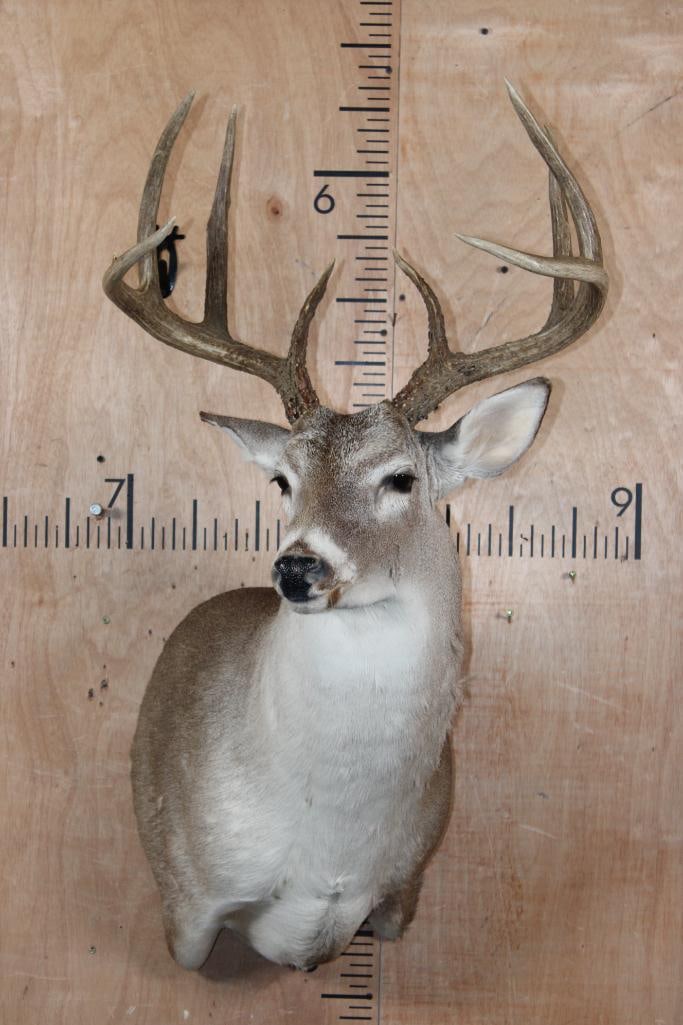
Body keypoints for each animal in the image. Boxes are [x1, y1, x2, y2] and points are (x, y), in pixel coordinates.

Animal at [102, 82, 607, 972]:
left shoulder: (403, 886)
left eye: (400, 478)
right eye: (281, 480)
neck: (329, 846)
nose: (297, 569)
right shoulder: (186, 901)